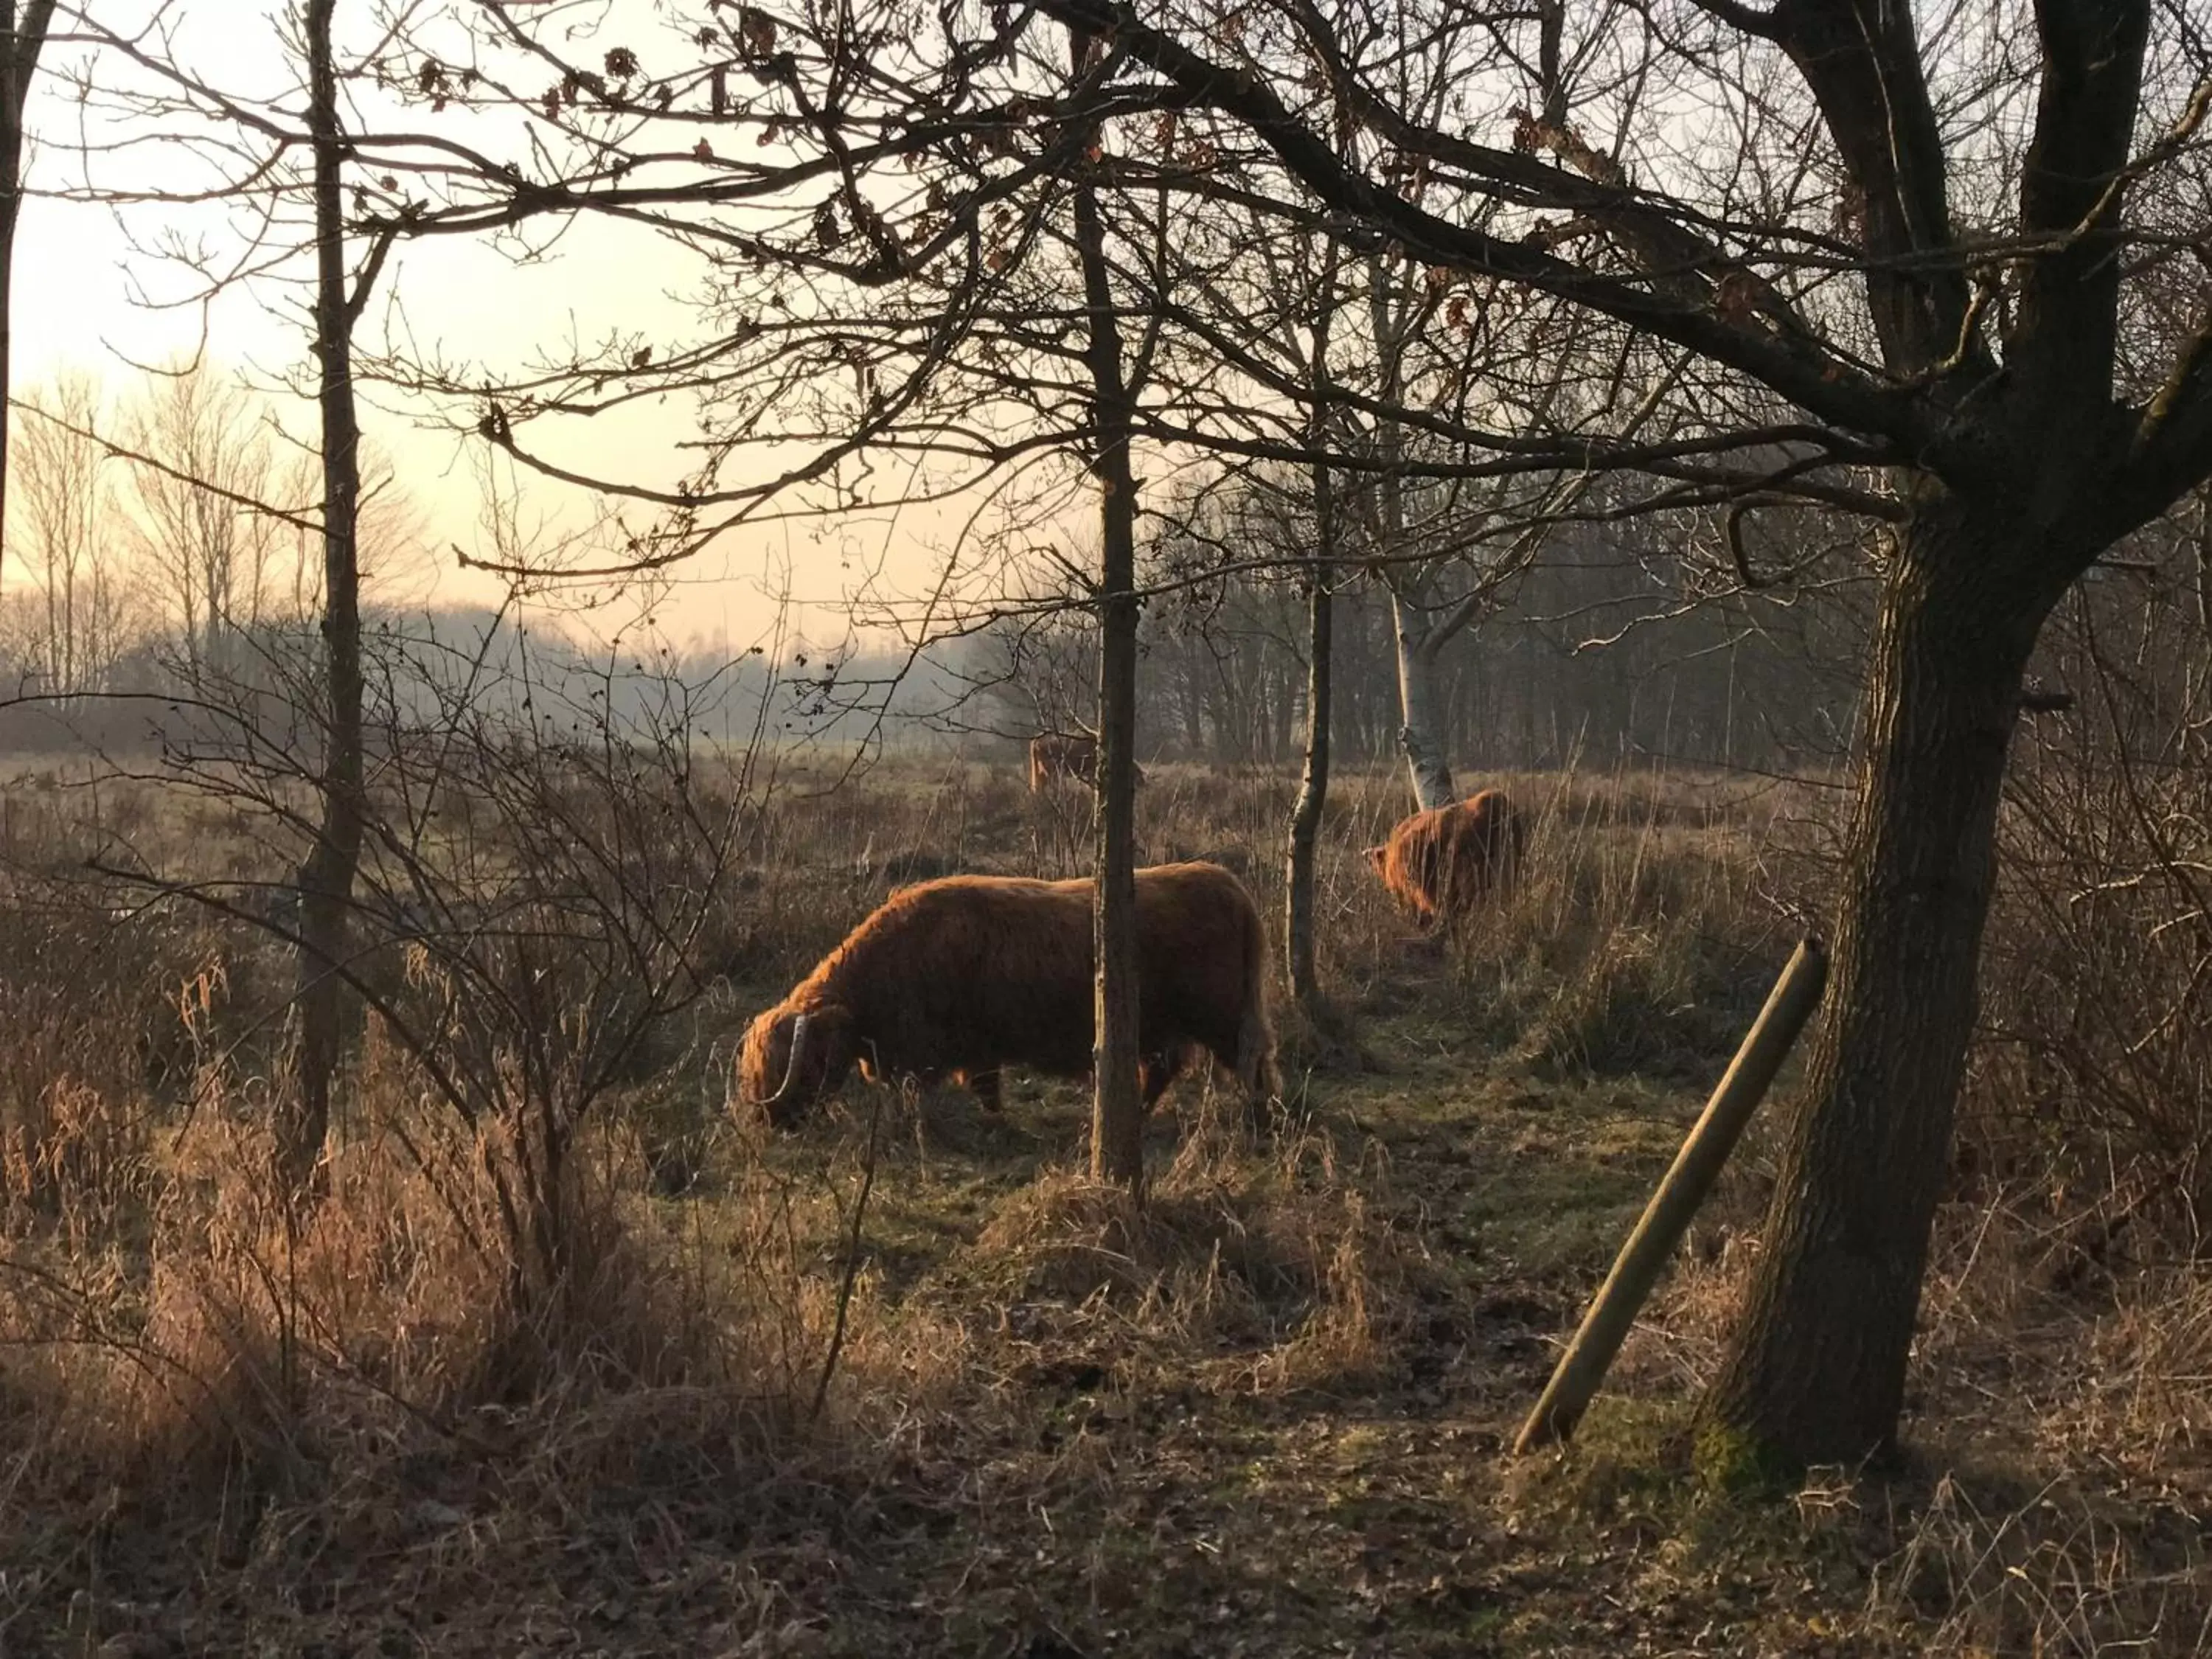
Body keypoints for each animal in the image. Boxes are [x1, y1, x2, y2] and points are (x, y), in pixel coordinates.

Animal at [734, 858, 1283, 1133]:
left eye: (802, 1064)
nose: (769, 1120)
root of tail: (1227, 883)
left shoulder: (932, 1051)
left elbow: (940, 1091)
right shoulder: (977, 1049)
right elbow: (985, 1088)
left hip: (1222, 1015)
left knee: (1252, 1060)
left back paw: (1260, 1118)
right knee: (1164, 1069)